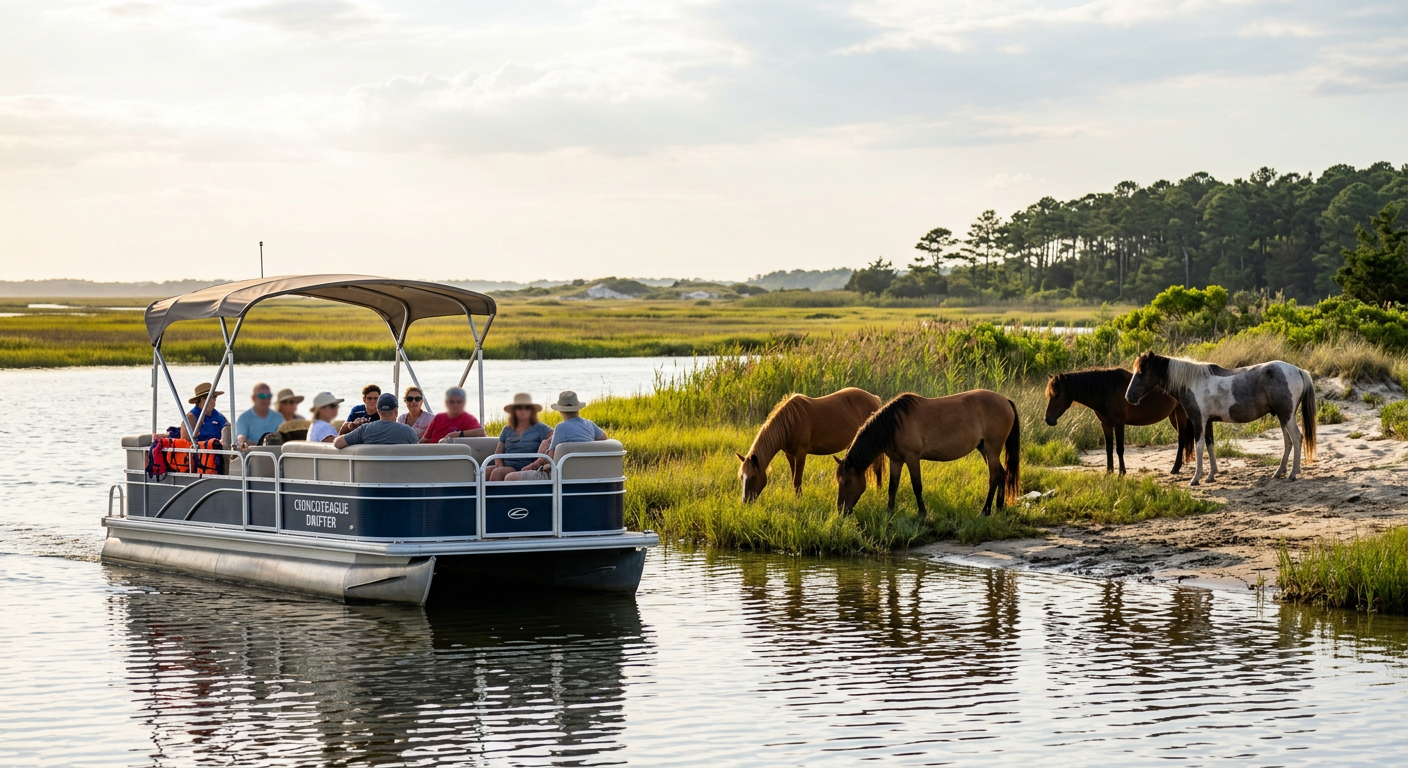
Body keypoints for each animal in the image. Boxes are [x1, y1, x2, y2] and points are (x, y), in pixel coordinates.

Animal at [737, 387, 885, 502]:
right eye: (741, 477)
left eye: (753, 477)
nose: (745, 501)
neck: (789, 424)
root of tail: (875, 398)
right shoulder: (789, 454)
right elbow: (793, 478)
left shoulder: (801, 453)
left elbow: (797, 479)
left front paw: (799, 500)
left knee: (877, 469)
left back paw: (879, 492)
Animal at [834, 390, 1020, 517]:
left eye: (848, 481)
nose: (841, 510)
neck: (893, 425)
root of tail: (1005, 400)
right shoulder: (896, 460)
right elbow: (892, 486)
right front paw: (889, 512)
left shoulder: (912, 458)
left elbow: (917, 486)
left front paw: (922, 514)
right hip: (984, 449)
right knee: (1002, 474)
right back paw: (999, 507)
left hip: (991, 449)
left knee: (994, 477)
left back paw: (985, 511)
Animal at [1045, 367, 1195, 475]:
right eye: (1049, 395)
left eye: (1057, 394)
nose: (1048, 420)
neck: (1106, 391)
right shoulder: (1106, 425)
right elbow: (1108, 448)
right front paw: (1109, 472)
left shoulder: (1119, 424)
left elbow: (1119, 449)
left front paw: (1121, 472)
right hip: (1173, 416)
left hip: (1180, 414)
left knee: (1181, 440)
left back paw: (1175, 468)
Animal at [1126, 351, 1316, 486]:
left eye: (1141, 372)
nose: (1129, 397)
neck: (1192, 382)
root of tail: (1298, 370)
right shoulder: (1208, 422)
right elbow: (1210, 445)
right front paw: (1211, 475)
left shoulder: (1198, 420)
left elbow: (1199, 446)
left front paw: (1196, 478)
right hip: (1283, 417)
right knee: (1288, 442)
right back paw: (1279, 472)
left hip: (1287, 416)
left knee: (1297, 438)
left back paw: (1293, 473)